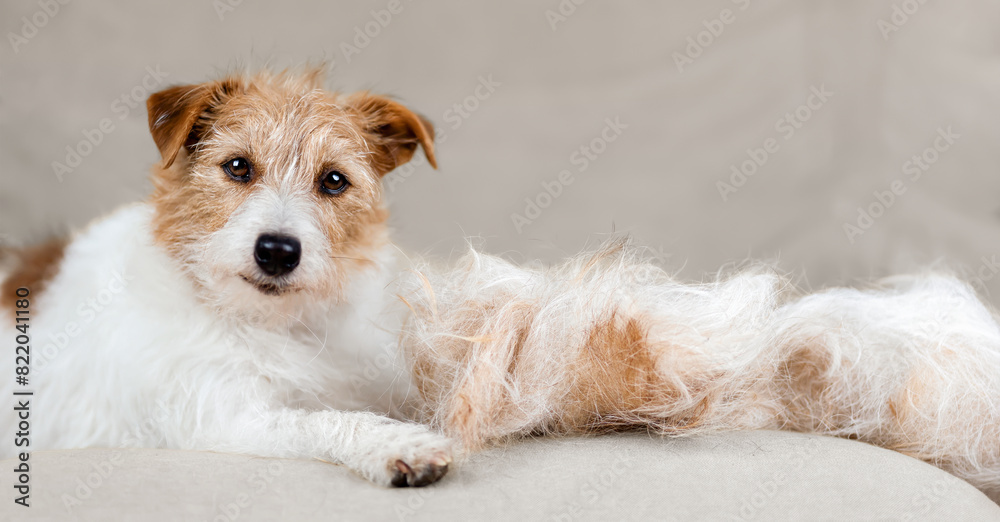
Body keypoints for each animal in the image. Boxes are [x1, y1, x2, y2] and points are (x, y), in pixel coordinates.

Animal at [1, 67, 1000, 498]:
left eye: (334, 182)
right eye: (237, 168)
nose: (278, 250)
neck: (278, 321)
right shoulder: (225, 415)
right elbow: (323, 420)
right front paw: (403, 451)